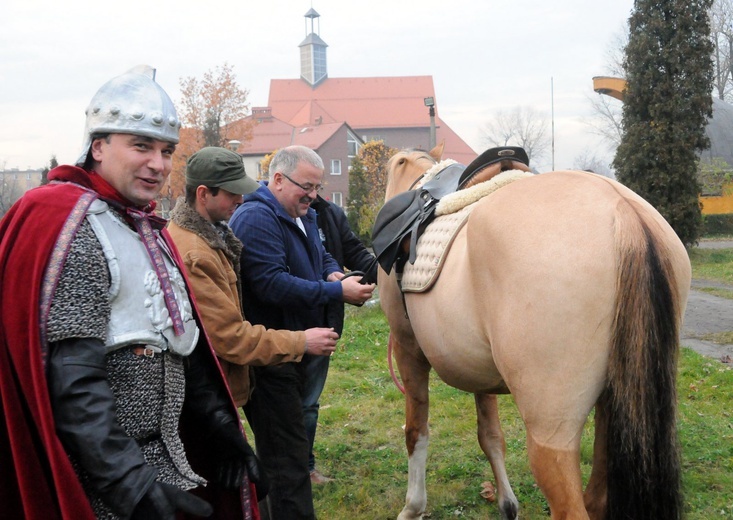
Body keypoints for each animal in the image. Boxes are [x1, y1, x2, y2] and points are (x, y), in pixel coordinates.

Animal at [378, 145, 692, 520]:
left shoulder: (408, 351)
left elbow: (416, 432)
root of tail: (622, 211)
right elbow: (491, 435)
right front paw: (506, 502)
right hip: (616, 409)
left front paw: (413, 507)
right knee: (597, 499)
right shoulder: (478, 370)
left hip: (551, 434)